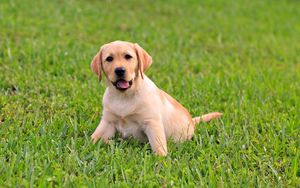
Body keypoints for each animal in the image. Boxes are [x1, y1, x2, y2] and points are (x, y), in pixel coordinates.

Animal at [90, 40, 221, 156]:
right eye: (109, 59)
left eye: (128, 56)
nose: (120, 70)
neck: (124, 96)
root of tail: (192, 121)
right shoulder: (108, 122)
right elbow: (93, 138)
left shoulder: (152, 123)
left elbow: (158, 145)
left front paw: (161, 161)